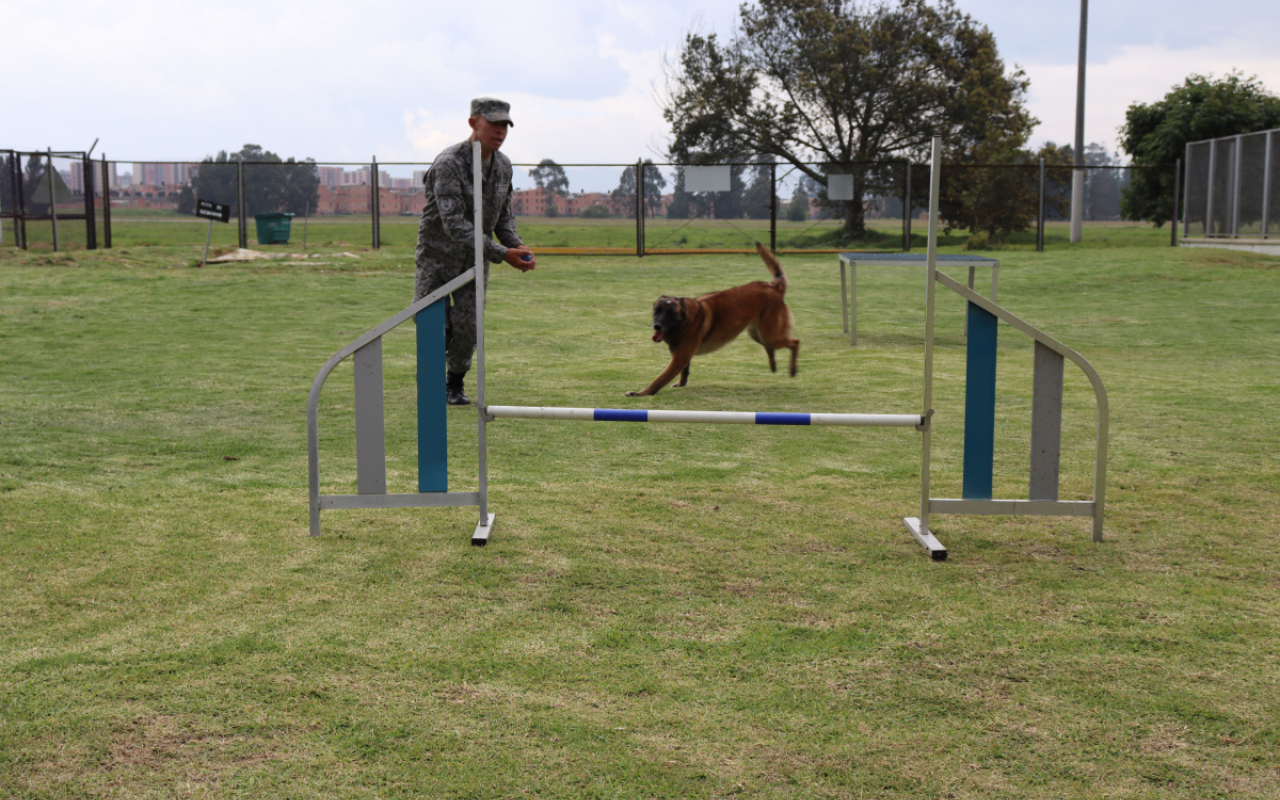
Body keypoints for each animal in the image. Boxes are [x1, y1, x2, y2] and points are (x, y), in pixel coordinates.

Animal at [622, 240, 793, 396]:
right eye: (657, 311)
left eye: (671, 314)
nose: (657, 326)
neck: (686, 321)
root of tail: (773, 287)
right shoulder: (683, 356)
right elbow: (685, 370)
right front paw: (681, 383)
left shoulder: (678, 359)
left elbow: (659, 380)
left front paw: (640, 393)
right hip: (758, 334)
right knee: (770, 347)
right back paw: (773, 365)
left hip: (770, 335)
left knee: (794, 342)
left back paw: (793, 369)